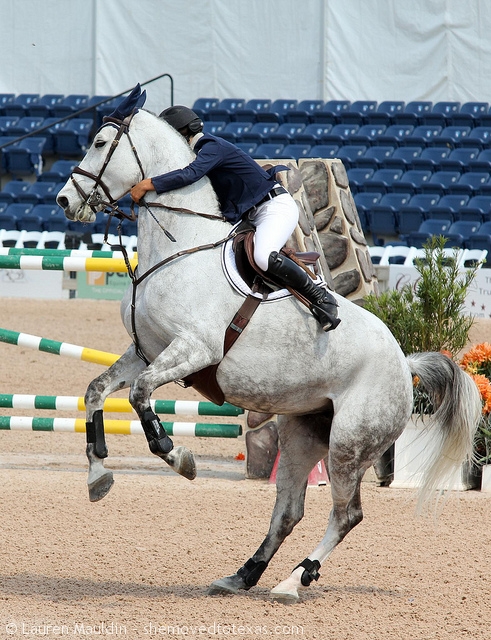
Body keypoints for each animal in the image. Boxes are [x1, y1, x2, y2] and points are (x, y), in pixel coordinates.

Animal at [56, 85, 481, 602]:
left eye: (100, 143)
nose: (63, 201)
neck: (177, 247)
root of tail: (404, 362)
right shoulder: (146, 352)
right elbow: (97, 390)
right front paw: (98, 476)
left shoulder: (194, 350)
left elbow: (139, 397)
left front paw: (179, 457)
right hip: (303, 432)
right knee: (289, 510)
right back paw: (242, 575)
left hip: (349, 441)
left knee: (346, 513)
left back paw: (293, 580)